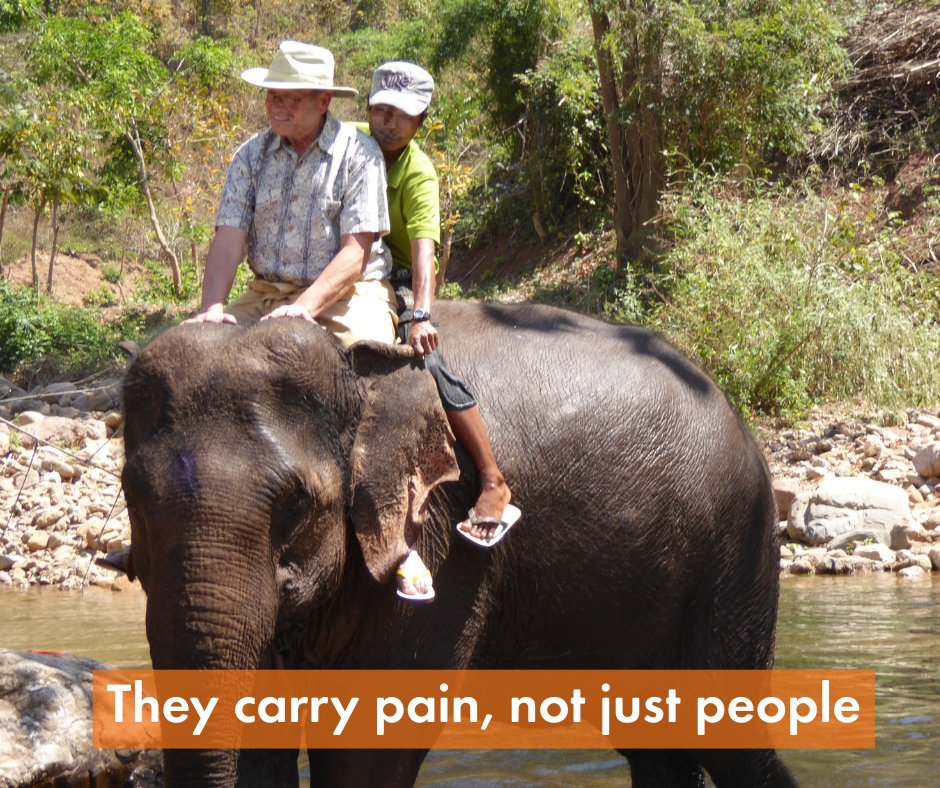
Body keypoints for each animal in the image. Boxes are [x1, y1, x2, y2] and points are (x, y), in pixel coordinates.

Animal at [121, 300, 794, 788]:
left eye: (295, 503)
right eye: (132, 494)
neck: (358, 369)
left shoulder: (439, 538)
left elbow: (370, 744)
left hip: (734, 556)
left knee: (727, 742)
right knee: (658, 749)